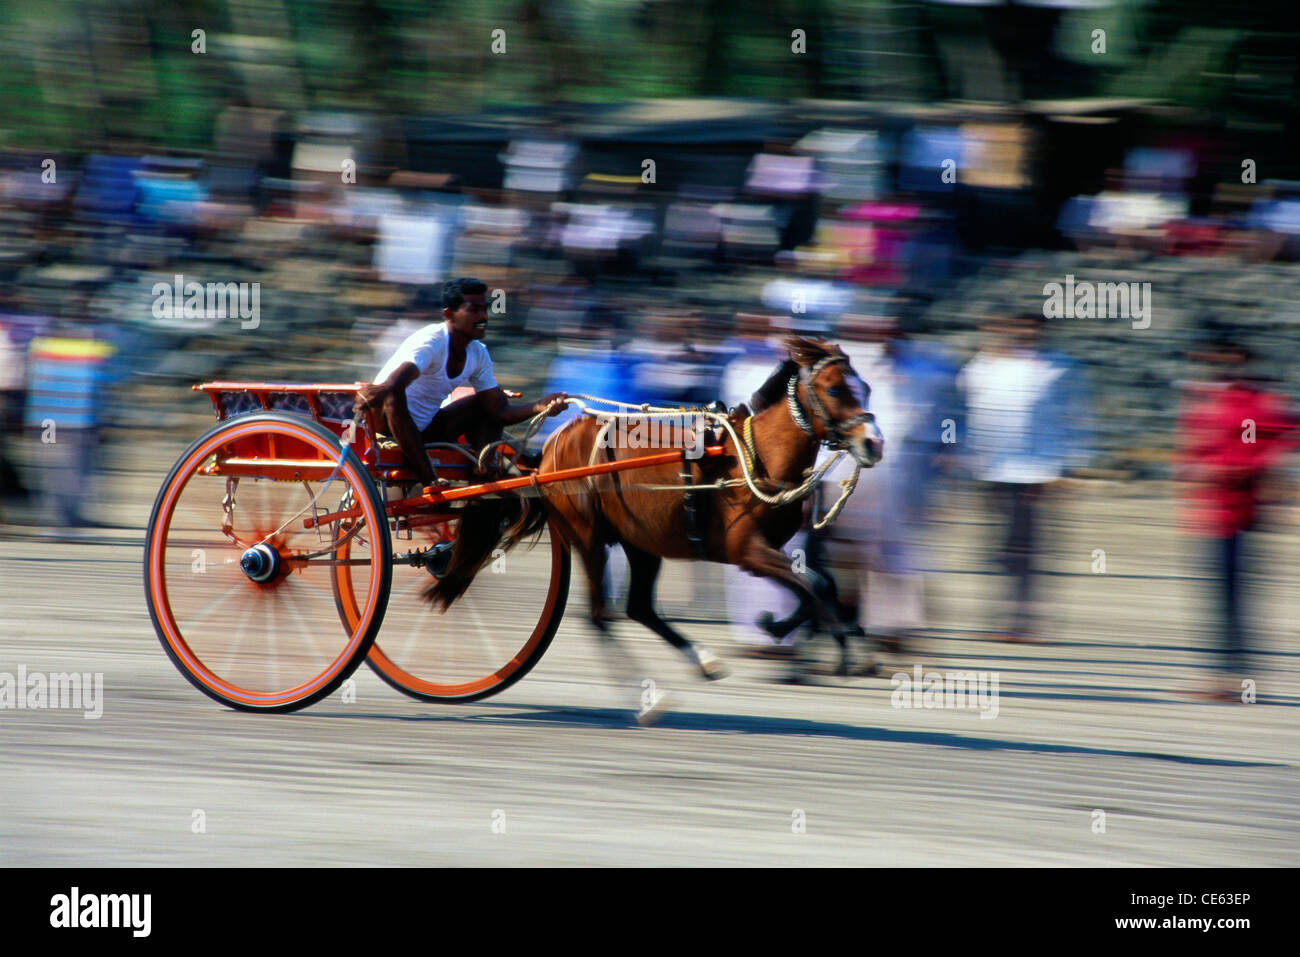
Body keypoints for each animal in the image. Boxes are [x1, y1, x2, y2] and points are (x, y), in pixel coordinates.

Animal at [426, 332, 883, 686]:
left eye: (865, 387)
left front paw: (793, 627)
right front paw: (841, 648)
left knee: (639, 608)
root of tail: (548, 451)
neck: (755, 458)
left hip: (640, 541)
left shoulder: (772, 546)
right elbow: (812, 587)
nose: (873, 442)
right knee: (600, 616)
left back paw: (702, 660)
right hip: (589, 536)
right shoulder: (746, 550)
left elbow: (819, 584)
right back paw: (647, 698)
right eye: (836, 389)